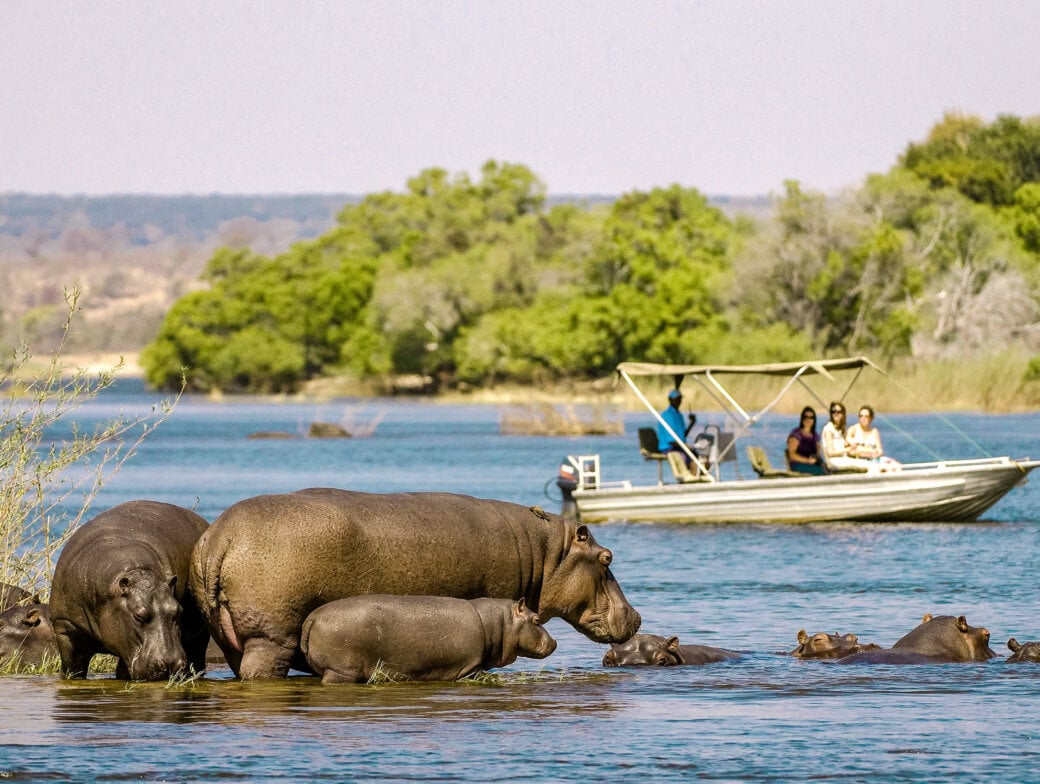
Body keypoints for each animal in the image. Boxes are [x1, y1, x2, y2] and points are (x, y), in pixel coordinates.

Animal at [50, 501, 211, 680]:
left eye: (178, 611)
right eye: (138, 615)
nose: (170, 664)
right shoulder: (64, 627)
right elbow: (73, 667)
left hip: (200, 635)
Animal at [301, 595, 557, 684]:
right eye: (536, 619)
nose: (555, 643)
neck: (499, 623)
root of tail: (311, 618)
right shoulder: (470, 668)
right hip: (341, 671)